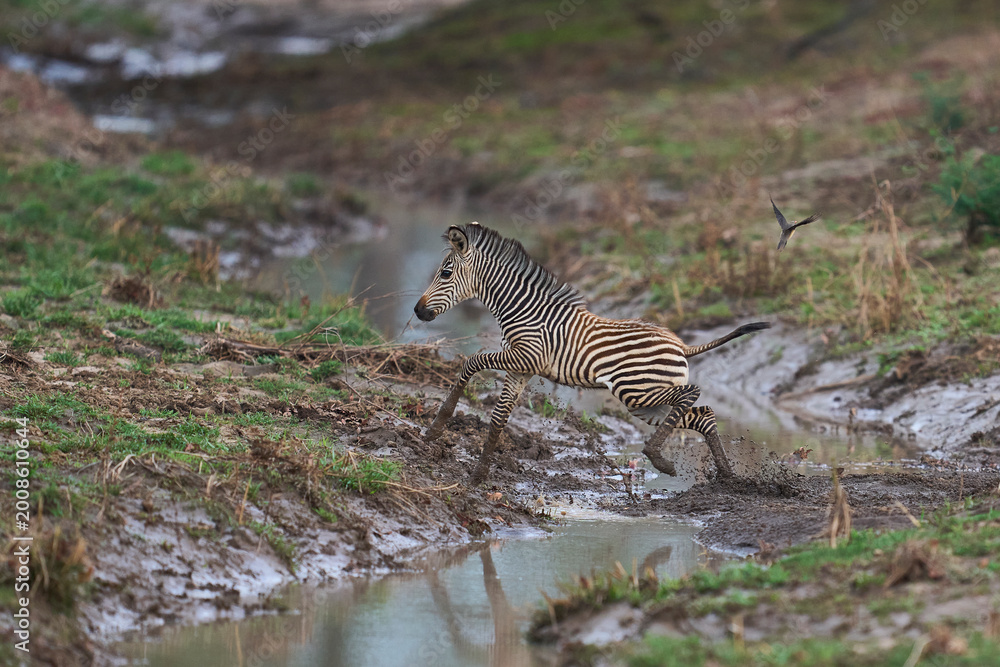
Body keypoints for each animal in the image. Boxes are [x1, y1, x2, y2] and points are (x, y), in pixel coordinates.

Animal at [414, 222, 769, 484]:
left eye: (445, 274)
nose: (418, 311)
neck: (523, 310)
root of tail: (681, 344)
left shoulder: (525, 357)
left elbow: (472, 362)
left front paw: (437, 426)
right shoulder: (520, 368)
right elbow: (499, 418)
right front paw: (478, 474)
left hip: (637, 391)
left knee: (692, 393)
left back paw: (659, 458)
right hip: (647, 403)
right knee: (704, 414)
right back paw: (727, 477)